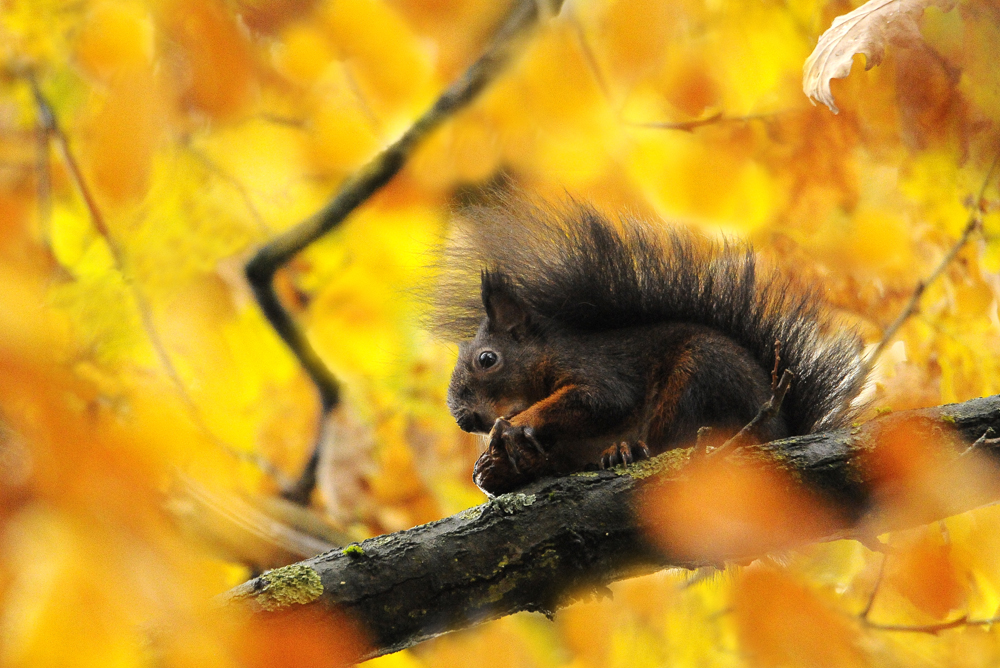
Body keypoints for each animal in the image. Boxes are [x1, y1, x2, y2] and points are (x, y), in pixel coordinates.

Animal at [434, 198, 872, 496]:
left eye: (487, 359)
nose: (466, 420)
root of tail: (780, 430)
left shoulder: (594, 367)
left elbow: (600, 399)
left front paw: (515, 426)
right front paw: (491, 469)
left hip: (701, 376)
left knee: (676, 438)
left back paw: (628, 448)